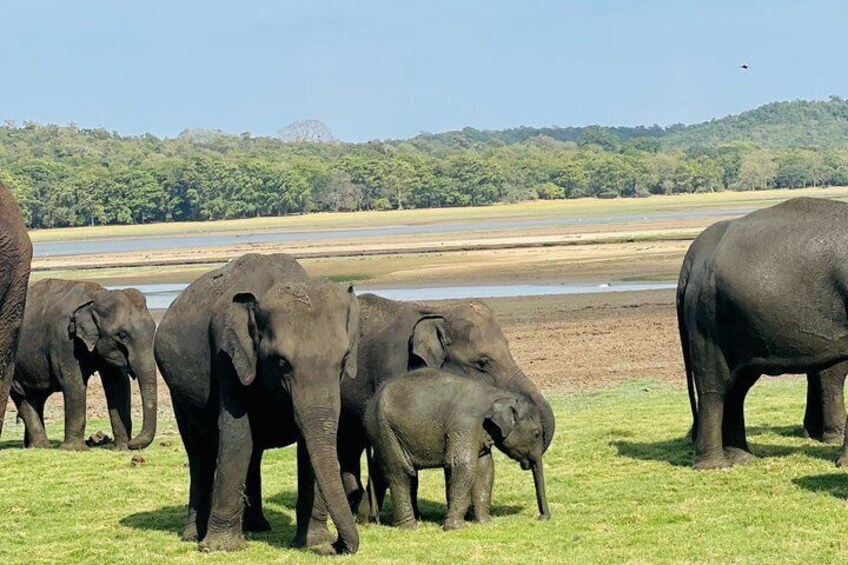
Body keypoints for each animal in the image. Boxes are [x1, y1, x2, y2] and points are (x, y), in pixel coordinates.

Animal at [10, 279, 157, 450]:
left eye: (154, 329)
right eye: (122, 335)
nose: (132, 443)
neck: (96, 296)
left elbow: (118, 386)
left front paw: (121, 449)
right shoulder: (64, 340)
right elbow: (74, 385)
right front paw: (74, 449)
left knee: (36, 397)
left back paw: (33, 446)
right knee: (21, 395)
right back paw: (41, 446)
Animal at [154, 253, 361, 555]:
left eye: (344, 359)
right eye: (282, 363)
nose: (337, 545)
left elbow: (309, 446)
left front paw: (312, 542)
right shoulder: (227, 355)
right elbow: (237, 436)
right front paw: (220, 548)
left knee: (253, 452)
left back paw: (256, 526)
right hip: (176, 392)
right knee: (199, 452)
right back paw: (193, 536)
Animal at [365, 368, 550, 530]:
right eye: (536, 434)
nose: (543, 517)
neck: (497, 395)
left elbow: (485, 468)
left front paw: (486, 522)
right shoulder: (466, 424)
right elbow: (462, 465)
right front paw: (455, 528)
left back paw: (372, 520)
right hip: (385, 430)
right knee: (400, 473)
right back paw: (409, 527)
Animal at [678, 197, 848, 469]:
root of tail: (693, 256)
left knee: (737, 386)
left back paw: (742, 458)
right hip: (706, 319)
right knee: (714, 386)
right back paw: (714, 466)